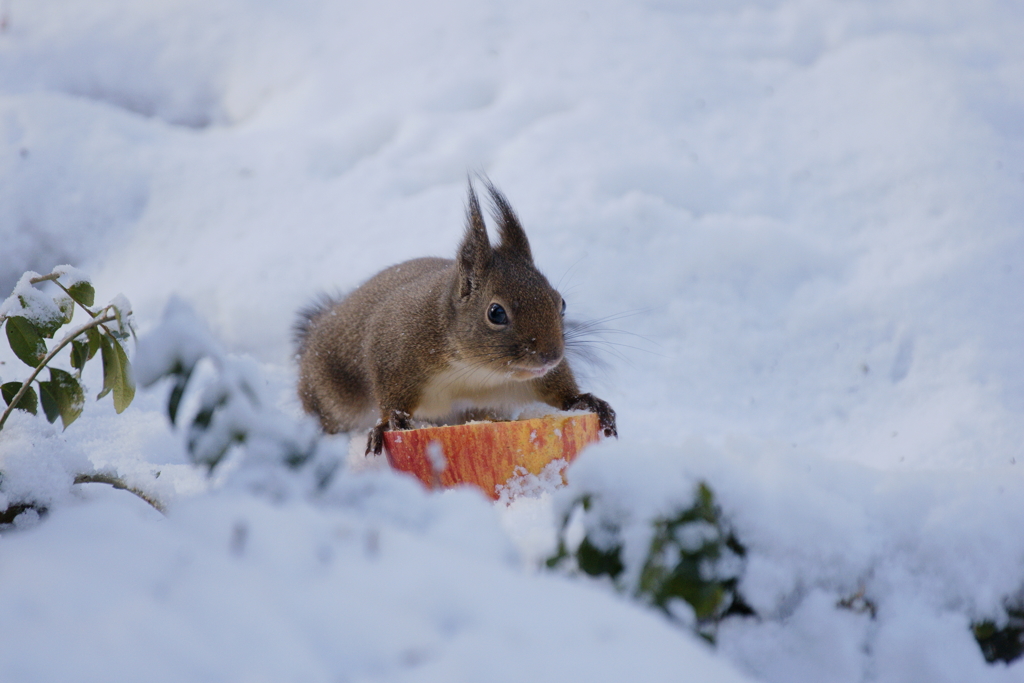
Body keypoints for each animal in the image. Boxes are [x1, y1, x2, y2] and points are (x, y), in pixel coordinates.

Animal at [292, 181, 618, 456]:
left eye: (561, 303)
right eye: (496, 313)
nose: (550, 356)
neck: (473, 370)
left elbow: (557, 389)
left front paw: (586, 401)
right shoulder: (394, 349)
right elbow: (389, 393)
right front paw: (389, 422)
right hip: (332, 398)